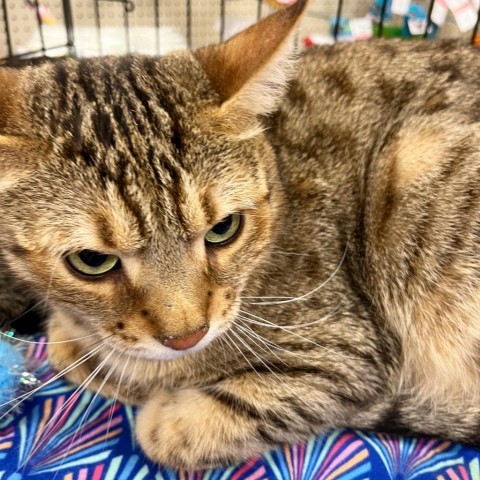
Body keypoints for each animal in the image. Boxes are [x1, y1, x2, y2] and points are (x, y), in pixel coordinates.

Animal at [0, 0, 480, 468]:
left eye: (223, 229)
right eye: (92, 261)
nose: (187, 336)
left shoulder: (347, 352)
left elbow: (170, 427)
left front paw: (155, 400)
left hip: (414, 157)